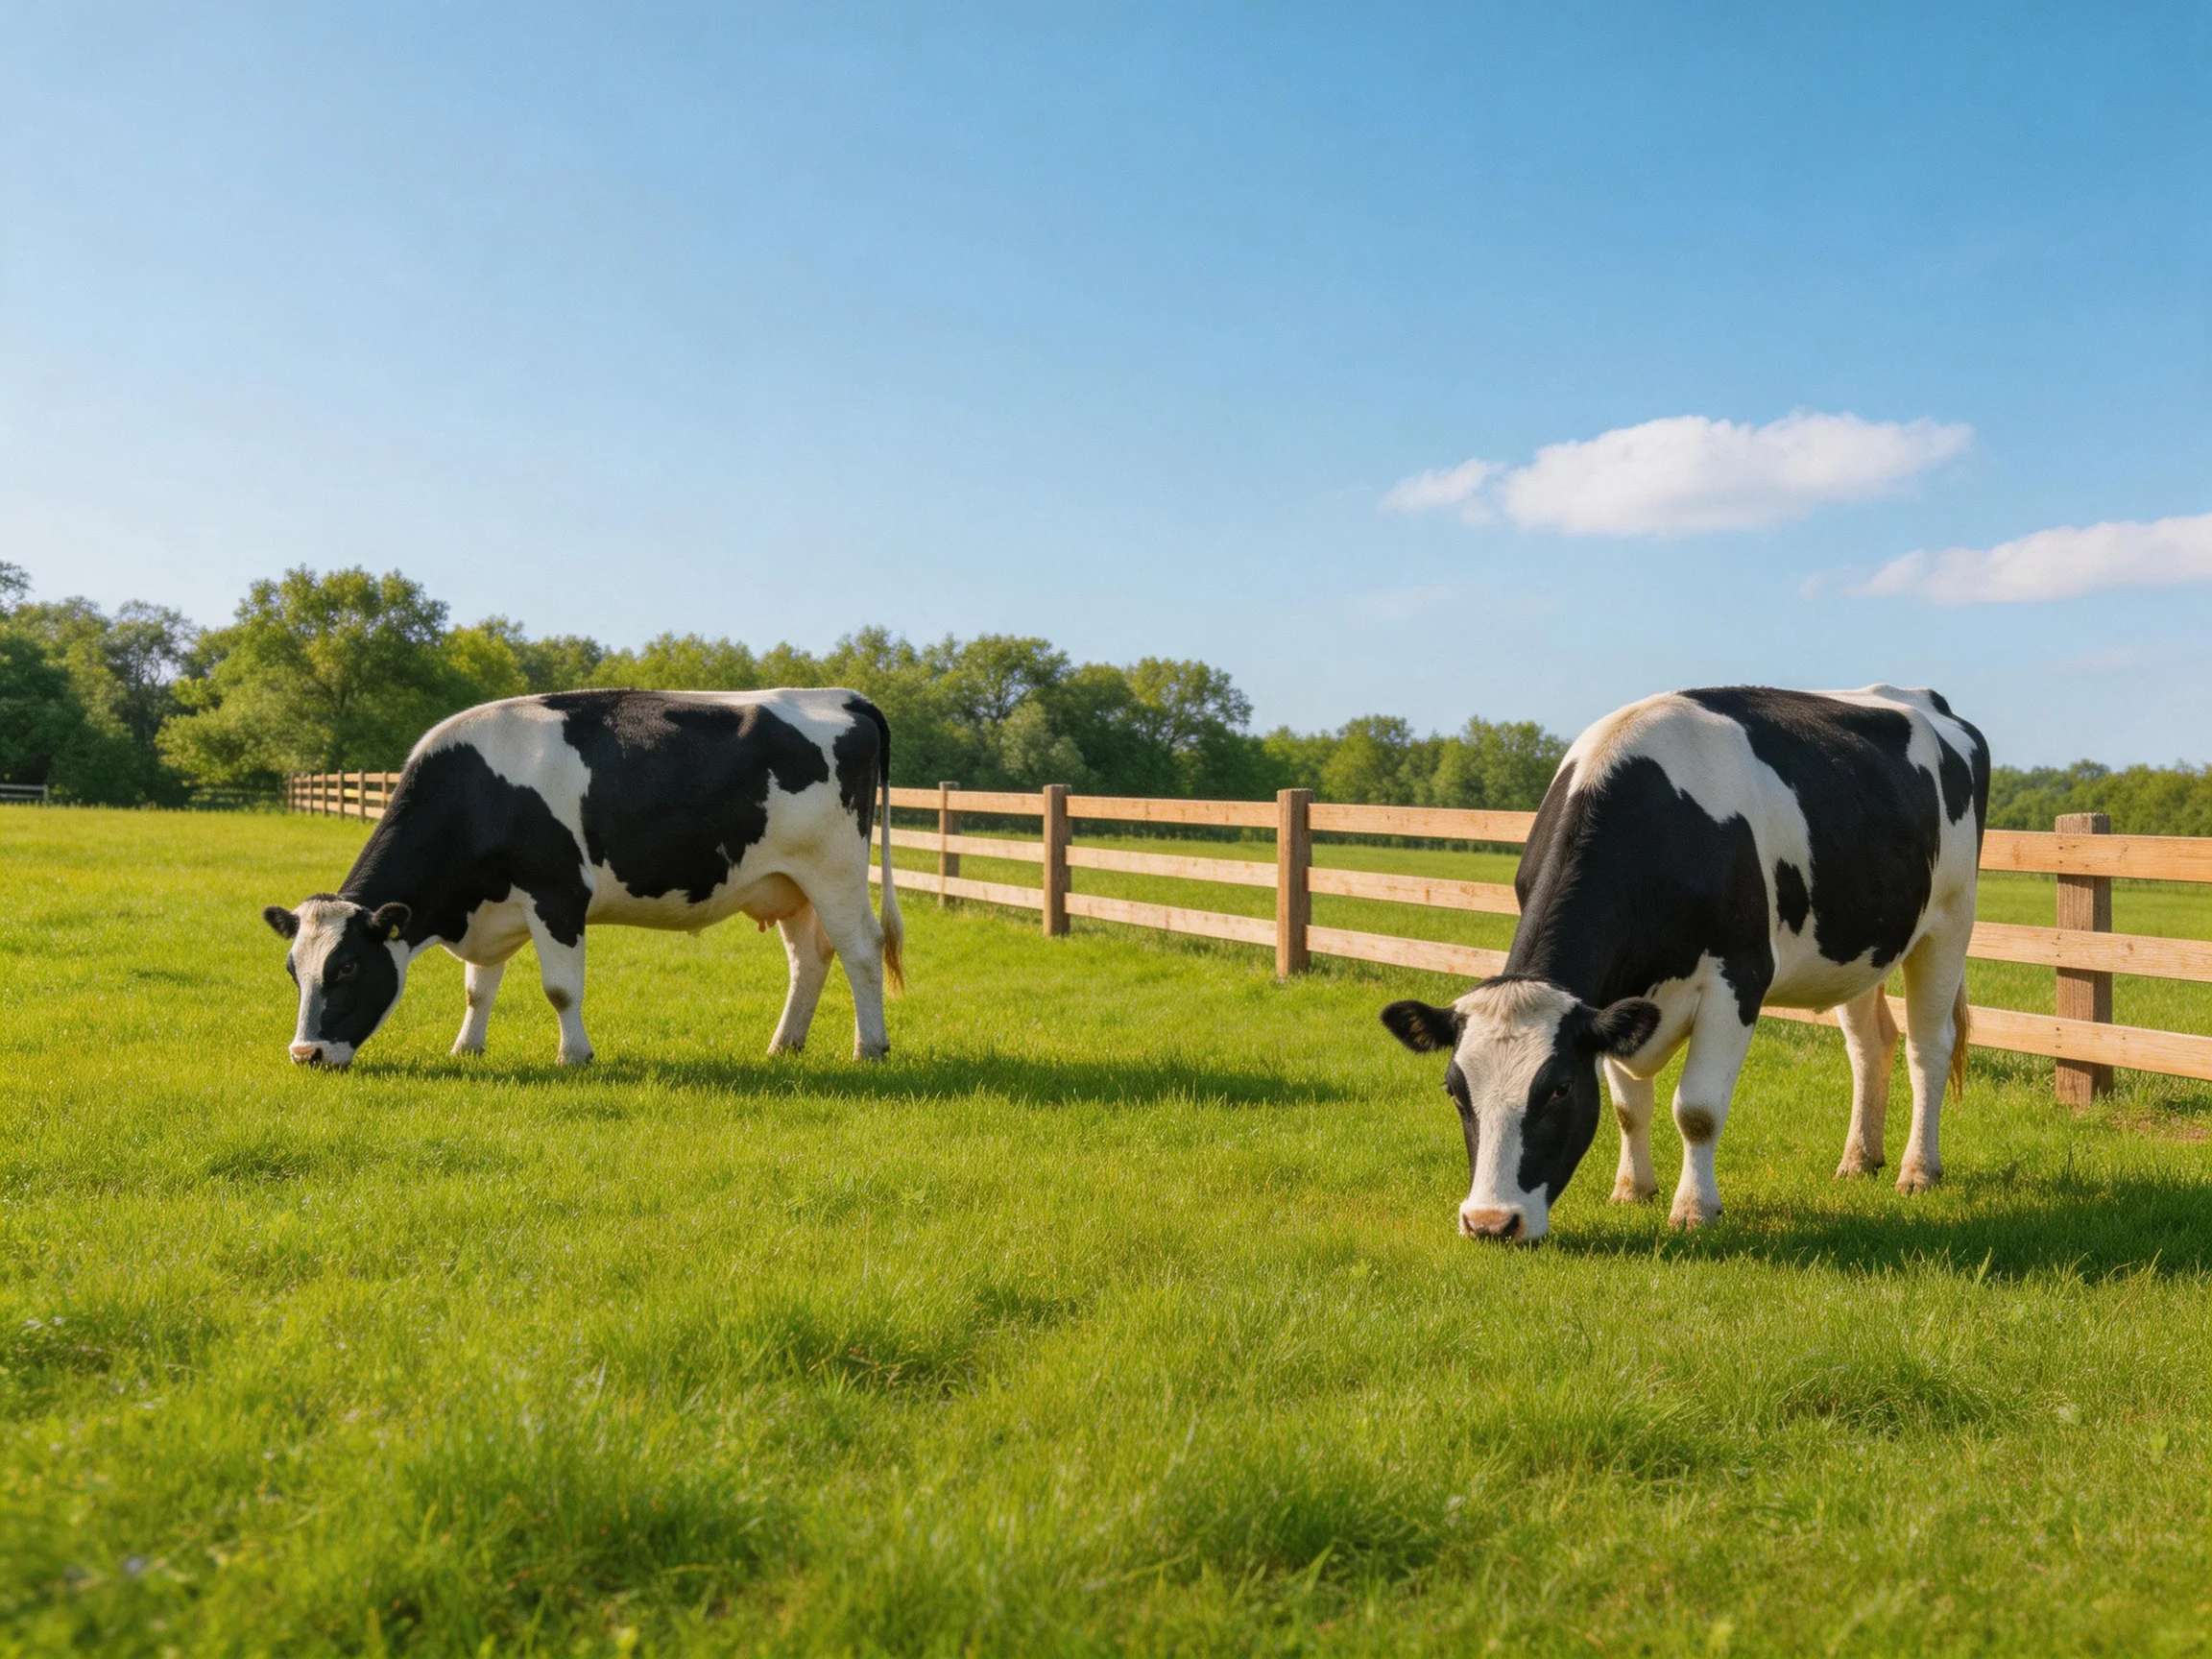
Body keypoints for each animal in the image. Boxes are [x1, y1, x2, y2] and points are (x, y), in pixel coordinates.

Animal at [262, 688, 904, 1069]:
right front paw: (466, 1048)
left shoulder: (557, 896)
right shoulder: (493, 905)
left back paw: (869, 1048)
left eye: (347, 967)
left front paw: (574, 1056)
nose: (304, 1053)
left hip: (835, 870)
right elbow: (478, 988)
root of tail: (839, 696)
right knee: (810, 959)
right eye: (293, 970)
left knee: (862, 950)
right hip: (788, 884)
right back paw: (783, 1046)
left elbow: (560, 989)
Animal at [1382, 685, 1988, 1242]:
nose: (1489, 1223)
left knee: (1928, 1047)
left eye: (1559, 1088)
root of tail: (1923, 697)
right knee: (1870, 1045)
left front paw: (1694, 1209)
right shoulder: (1614, 1000)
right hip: (1858, 948)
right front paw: (1632, 1189)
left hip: (1950, 921)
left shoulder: (1736, 978)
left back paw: (1918, 1170)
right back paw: (1860, 1159)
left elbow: (1696, 1109)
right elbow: (1628, 1106)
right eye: (1453, 1090)